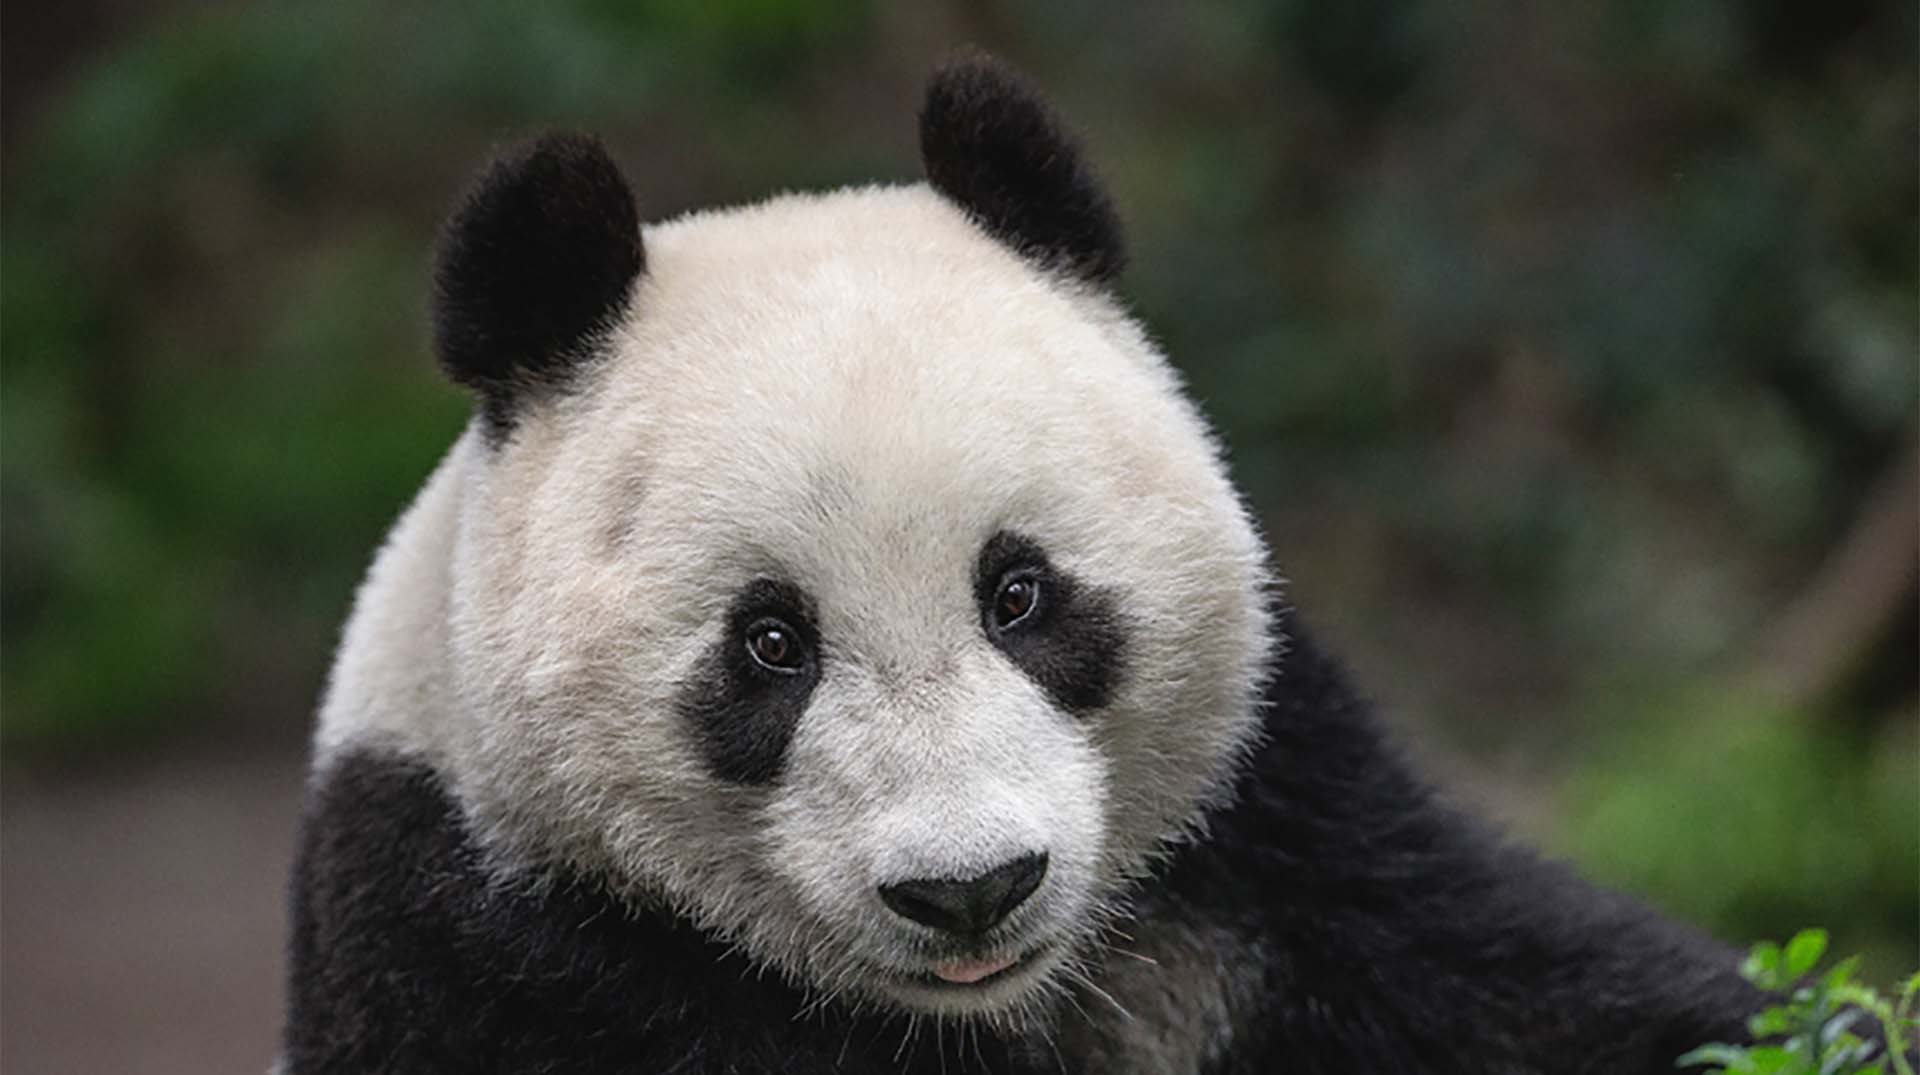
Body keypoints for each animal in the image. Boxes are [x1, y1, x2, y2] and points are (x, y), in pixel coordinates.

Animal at [278, 52, 1758, 1075]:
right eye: (771, 642)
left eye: (1020, 593)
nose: (970, 887)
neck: (985, 1013)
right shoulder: (481, 941)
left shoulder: (1289, 846)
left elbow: (1559, 990)